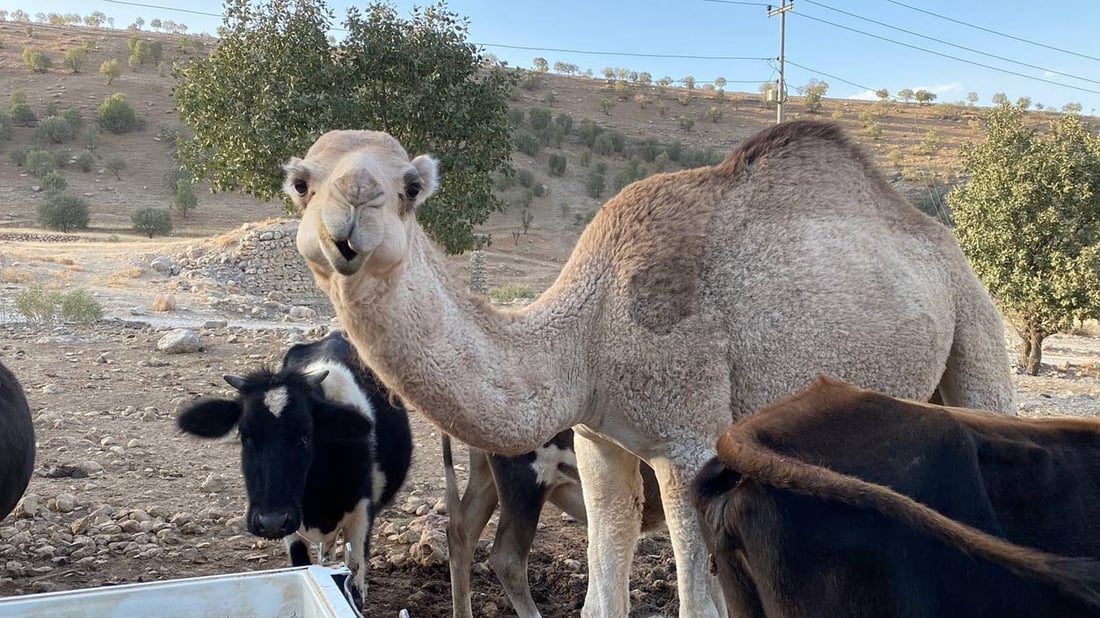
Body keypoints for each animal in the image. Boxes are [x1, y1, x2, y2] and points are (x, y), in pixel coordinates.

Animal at [177, 331, 412, 607]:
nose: (270, 521)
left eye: (305, 435)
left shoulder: (362, 516)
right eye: (244, 435)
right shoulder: (291, 529)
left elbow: (355, 586)